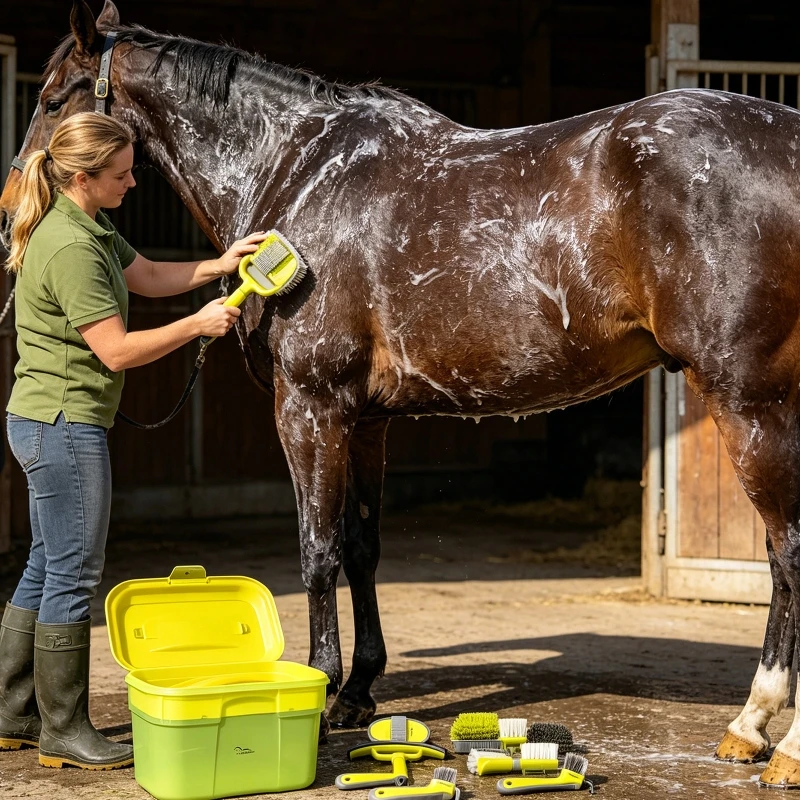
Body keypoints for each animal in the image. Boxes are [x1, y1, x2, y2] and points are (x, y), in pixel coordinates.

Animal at [3, 0, 800, 783]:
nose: (12, 207)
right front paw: (358, 689)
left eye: (50, 99)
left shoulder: (310, 406)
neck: (296, 169)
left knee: (787, 550)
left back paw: (768, 738)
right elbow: (362, 547)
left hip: (749, 403)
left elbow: (318, 548)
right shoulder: (365, 421)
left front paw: (323, 689)